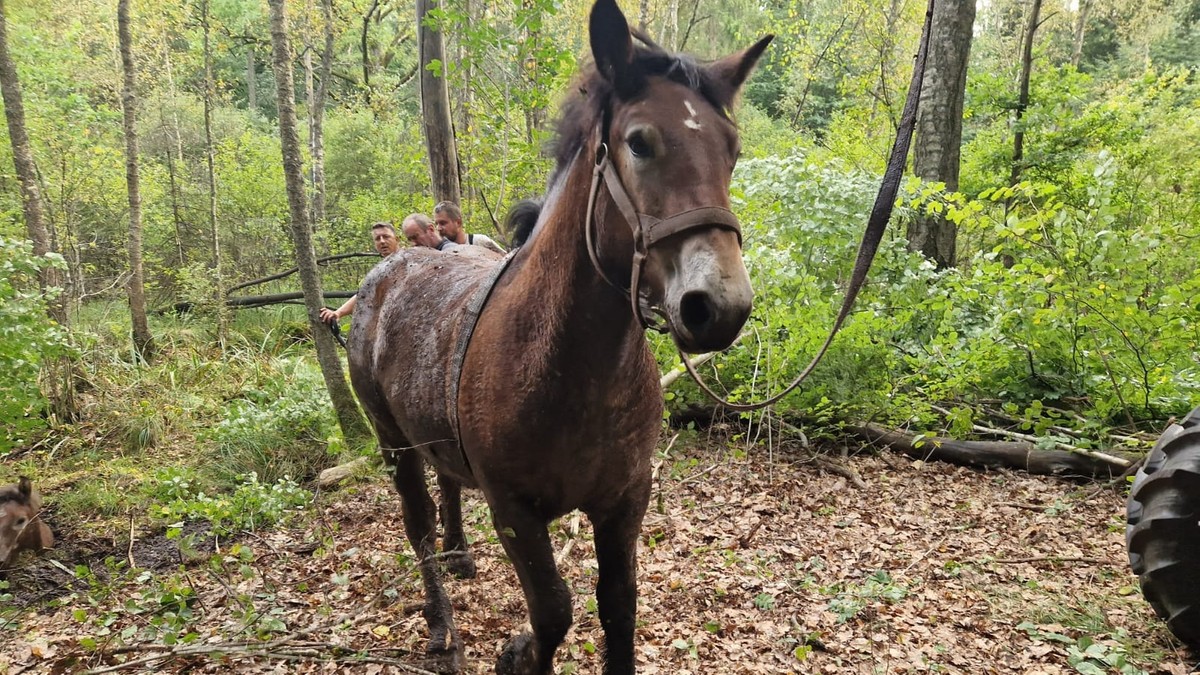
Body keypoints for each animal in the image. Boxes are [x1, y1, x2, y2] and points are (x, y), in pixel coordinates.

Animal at [350, 0, 768, 667]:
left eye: (731, 149)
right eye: (639, 142)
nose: (719, 306)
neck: (563, 365)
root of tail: (387, 272)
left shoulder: (625, 501)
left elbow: (618, 606)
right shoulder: (516, 514)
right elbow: (552, 612)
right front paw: (517, 654)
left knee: (446, 484)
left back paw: (459, 554)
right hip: (394, 444)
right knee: (416, 527)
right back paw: (441, 624)